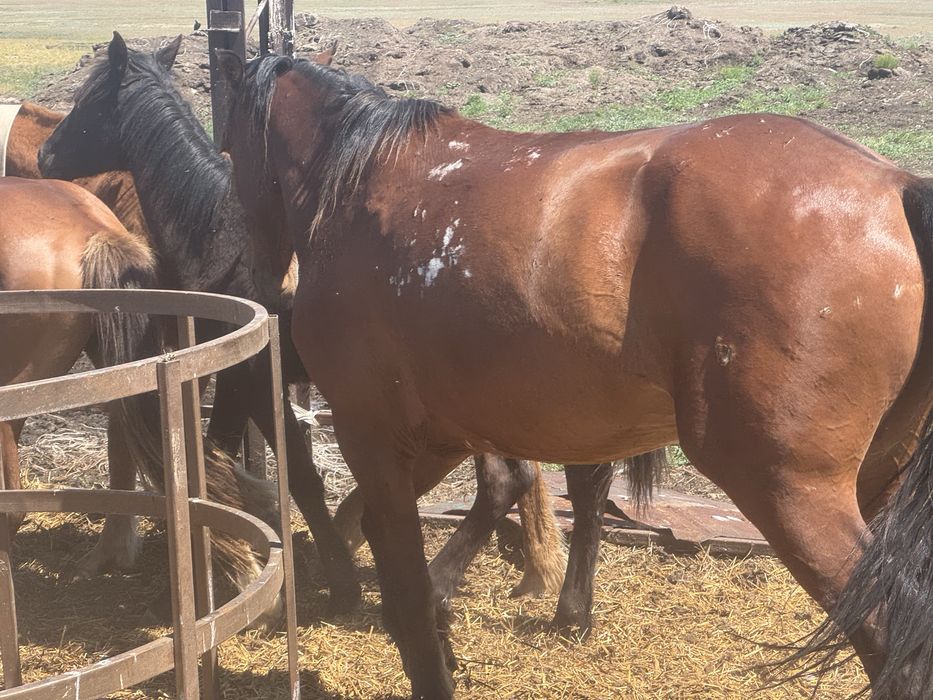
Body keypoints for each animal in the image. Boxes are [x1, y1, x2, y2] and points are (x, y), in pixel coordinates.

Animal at [35, 35, 585, 616]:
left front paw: (334, 577)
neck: (216, 233)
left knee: (508, 481)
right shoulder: (235, 374)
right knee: (522, 478)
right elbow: (225, 448)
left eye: (88, 100)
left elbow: (298, 476)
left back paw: (442, 582)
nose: (46, 155)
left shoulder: (258, 377)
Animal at [210, 49, 933, 698]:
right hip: (874, 480)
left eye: (230, 148)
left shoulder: (373, 435)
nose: (266, 280)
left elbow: (406, 594)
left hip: (790, 491)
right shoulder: (440, 434)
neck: (362, 182)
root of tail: (893, 184)